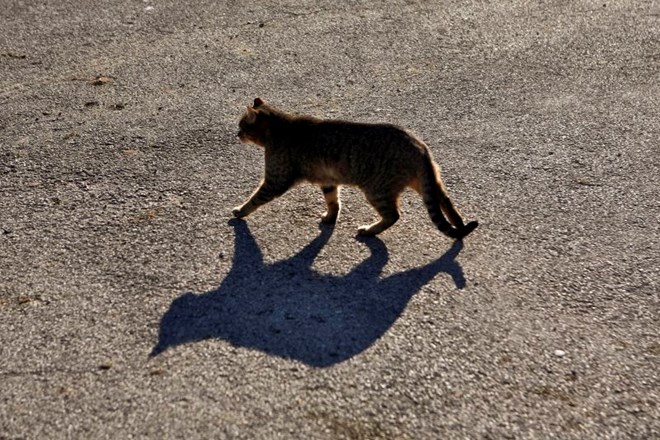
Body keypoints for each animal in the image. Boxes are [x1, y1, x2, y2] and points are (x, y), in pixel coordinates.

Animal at [235, 97, 476, 239]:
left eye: (242, 126)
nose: (236, 134)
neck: (279, 127)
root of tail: (418, 144)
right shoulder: (328, 179)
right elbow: (333, 202)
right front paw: (331, 217)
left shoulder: (276, 180)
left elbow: (255, 198)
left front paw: (240, 210)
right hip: (428, 182)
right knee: (445, 201)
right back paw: (459, 224)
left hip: (377, 190)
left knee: (394, 216)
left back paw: (370, 230)